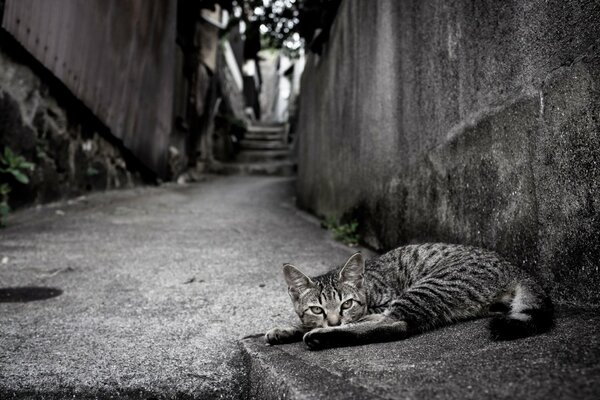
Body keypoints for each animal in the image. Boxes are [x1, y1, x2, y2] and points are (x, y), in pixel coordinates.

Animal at [268, 242, 552, 348]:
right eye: (317, 309)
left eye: (346, 304)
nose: (334, 320)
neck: (367, 285)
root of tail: (513, 266)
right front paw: (286, 329)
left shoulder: (383, 302)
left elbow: (365, 318)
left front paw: (311, 329)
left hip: (427, 286)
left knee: (395, 325)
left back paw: (322, 336)